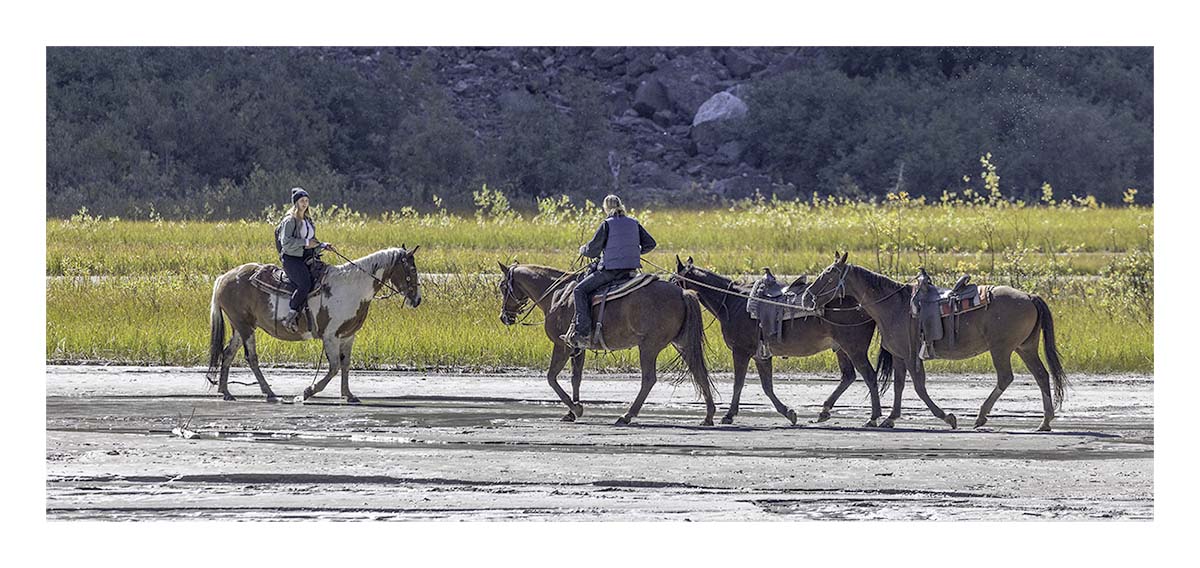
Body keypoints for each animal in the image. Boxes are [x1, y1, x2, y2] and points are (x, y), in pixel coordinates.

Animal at [494, 262, 710, 422]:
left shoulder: (562, 346)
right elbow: (576, 378)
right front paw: (571, 411)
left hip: (649, 347)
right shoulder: (577, 348)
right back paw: (709, 416)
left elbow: (551, 377)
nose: (504, 317)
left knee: (649, 379)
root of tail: (682, 293)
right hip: (682, 344)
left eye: (503, 286)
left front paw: (576, 409)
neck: (558, 295)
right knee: (699, 371)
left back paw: (627, 415)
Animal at [676, 255, 892, 425]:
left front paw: (729, 415)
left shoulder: (741, 352)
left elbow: (739, 383)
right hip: (841, 348)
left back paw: (873, 417)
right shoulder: (761, 356)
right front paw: (788, 413)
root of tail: (864, 305)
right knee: (848, 376)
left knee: (869, 376)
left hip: (853, 348)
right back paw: (825, 410)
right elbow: (767, 387)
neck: (732, 301)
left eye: (673, 278)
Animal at [801, 252, 1065, 429]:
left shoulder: (911, 355)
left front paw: (946, 416)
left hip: (1002, 348)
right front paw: (890, 418)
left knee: (1006, 378)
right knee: (1042, 376)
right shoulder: (899, 355)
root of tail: (1029, 296)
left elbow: (919, 386)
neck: (894, 306)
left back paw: (981, 415)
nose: (806, 297)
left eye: (828, 275)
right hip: (1025, 347)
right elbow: (899, 385)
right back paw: (1045, 421)